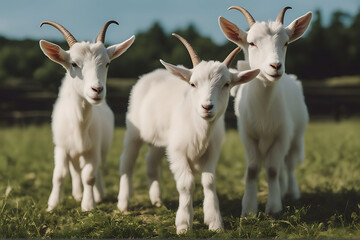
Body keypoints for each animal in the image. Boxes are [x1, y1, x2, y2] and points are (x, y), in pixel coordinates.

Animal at [39, 21, 135, 212]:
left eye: (107, 64)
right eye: (74, 64)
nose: (97, 89)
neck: (79, 123)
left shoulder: (93, 148)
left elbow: (89, 176)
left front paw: (89, 204)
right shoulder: (61, 147)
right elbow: (59, 175)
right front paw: (53, 204)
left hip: (101, 148)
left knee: (94, 170)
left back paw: (97, 194)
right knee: (75, 170)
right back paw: (77, 193)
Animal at [116, 32, 260, 233]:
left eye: (226, 84)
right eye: (193, 84)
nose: (207, 107)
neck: (199, 128)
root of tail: (154, 74)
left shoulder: (212, 151)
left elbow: (209, 182)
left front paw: (215, 222)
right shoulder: (178, 152)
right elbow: (186, 184)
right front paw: (183, 224)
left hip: (162, 139)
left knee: (151, 160)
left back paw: (157, 200)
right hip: (134, 131)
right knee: (127, 162)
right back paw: (123, 204)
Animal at [219, 6, 312, 217]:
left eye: (286, 43)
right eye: (251, 43)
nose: (276, 66)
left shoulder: (282, 135)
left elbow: (272, 170)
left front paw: (274, 207)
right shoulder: (248, 135)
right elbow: (253, 169)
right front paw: (249, 209)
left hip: (296, 135)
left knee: (289, 164)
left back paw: (291, 191)